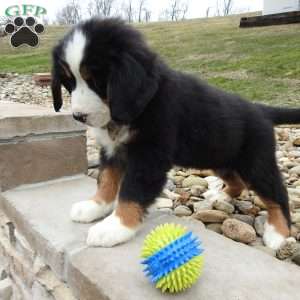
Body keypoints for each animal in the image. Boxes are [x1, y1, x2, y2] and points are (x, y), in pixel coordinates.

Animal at [51, 18, 300, 248]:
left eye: (97, 82)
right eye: (69, 82)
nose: (79, 116)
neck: (141, 104)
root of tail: (261, 109)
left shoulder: (149, 156)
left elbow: (132, 191)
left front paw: (115, 226)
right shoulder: (112, 150)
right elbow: (106, 180)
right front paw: (94, 206)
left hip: (255, 163)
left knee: (277, 193)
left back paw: (278, 233)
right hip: (220, 157)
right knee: (237, 182)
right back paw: (220, 195)